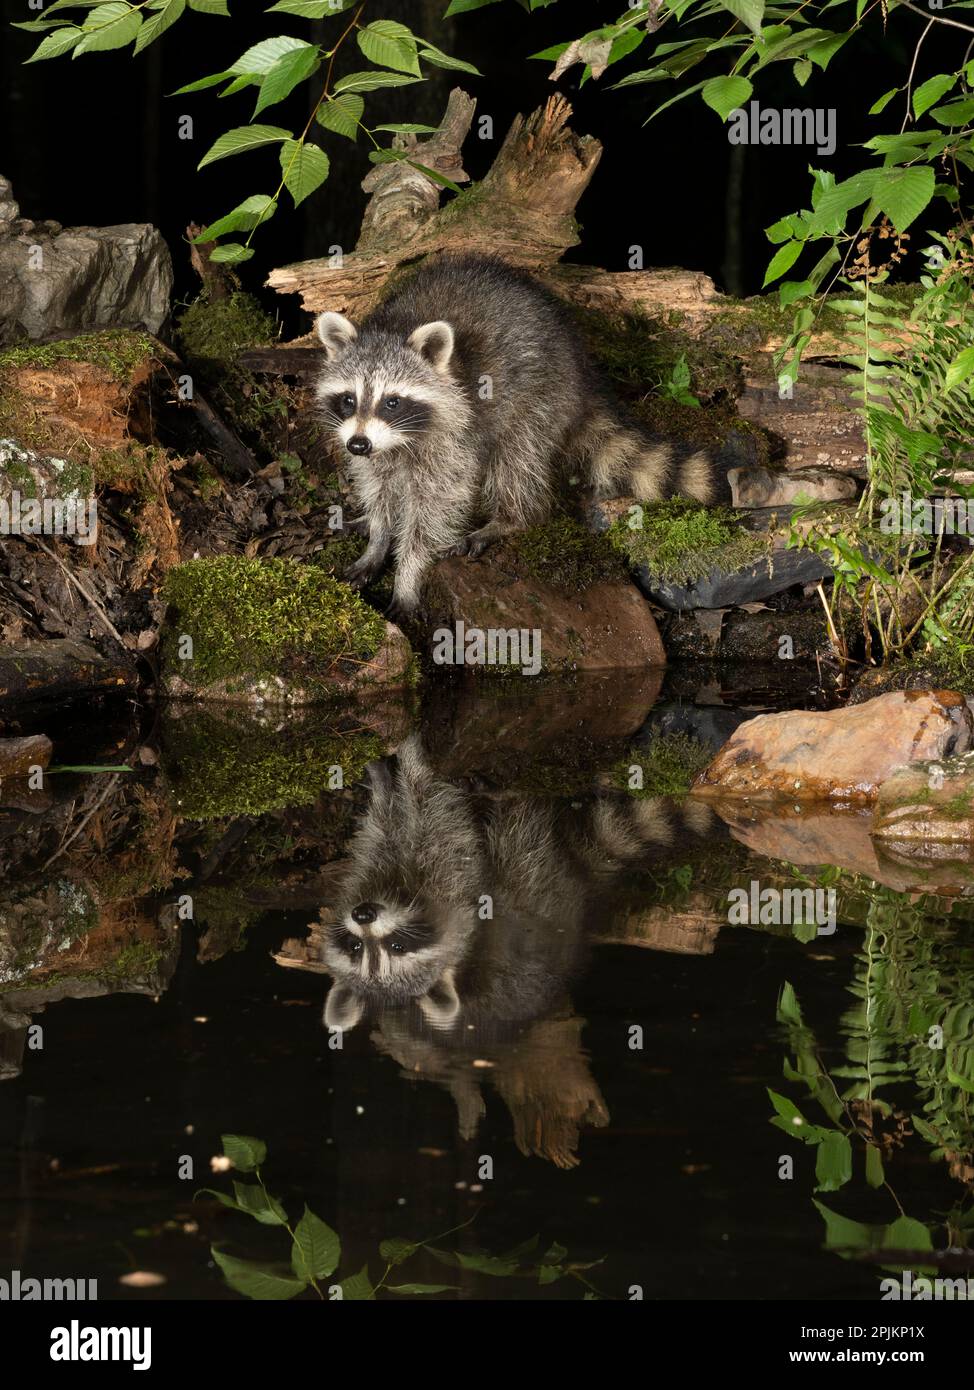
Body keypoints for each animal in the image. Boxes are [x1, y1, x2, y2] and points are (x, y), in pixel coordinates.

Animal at [315, 251, 728, 619]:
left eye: (392, 402)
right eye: (349, 399)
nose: (357, 444)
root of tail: (581, 370)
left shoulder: (454, 435)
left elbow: (434, 509)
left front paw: (408, 576)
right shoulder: (377, 451)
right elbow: (379, 489)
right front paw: (377, 538)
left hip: (540, 397)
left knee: (517, 460)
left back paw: (511, 518)